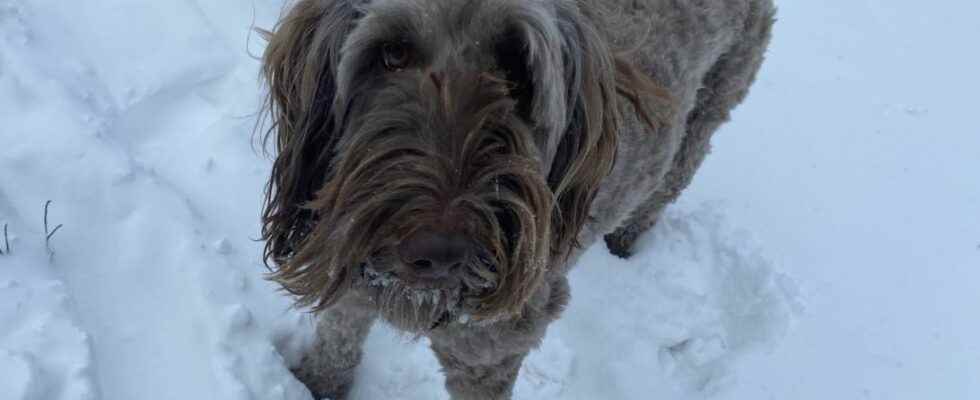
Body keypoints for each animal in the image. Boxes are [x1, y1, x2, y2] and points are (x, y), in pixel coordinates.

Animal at [258, 0, 772, 396]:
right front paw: (316, 384)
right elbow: (338, 333)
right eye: (393, 53)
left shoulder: (492, 347)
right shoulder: (347, 261)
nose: (439, 254)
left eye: (518, 71)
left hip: (709, 109)